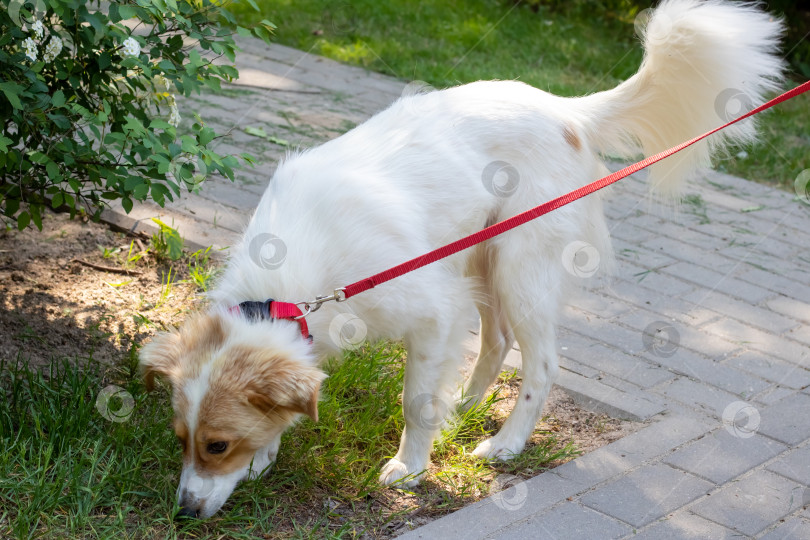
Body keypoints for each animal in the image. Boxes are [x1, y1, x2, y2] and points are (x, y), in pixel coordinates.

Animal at [140, 2, 784, 520]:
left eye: (217, 445)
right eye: (180, 438)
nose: (185, 512)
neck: (290, 287)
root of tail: (567, 111)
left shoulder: (431, 311)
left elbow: (416, 401)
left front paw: (410, 467)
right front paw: (268, 456)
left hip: (519, 266)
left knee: (541, 361)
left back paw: (505, 443)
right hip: (479, 256)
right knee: (497, 339)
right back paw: (470, 405)